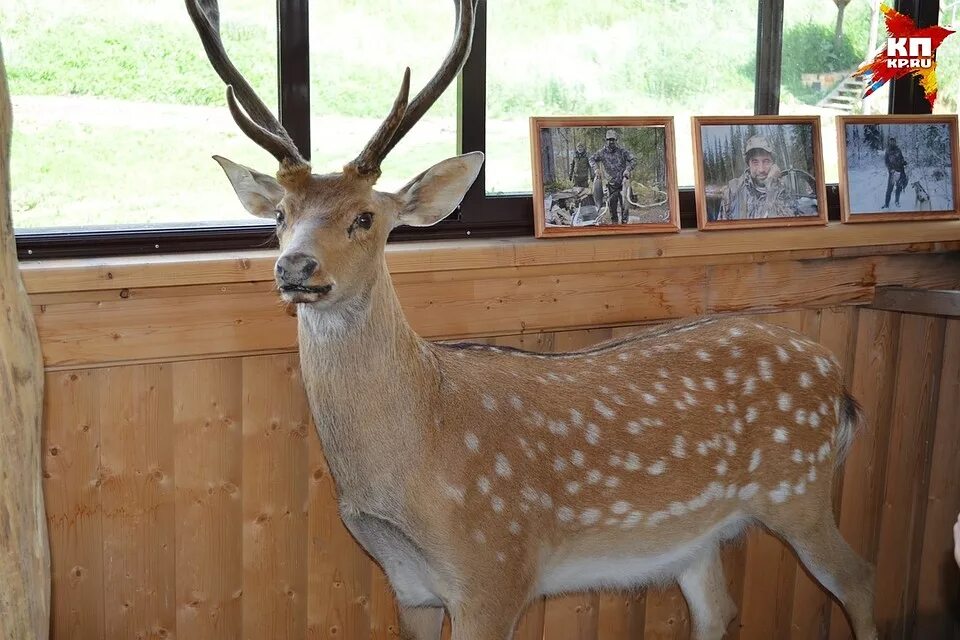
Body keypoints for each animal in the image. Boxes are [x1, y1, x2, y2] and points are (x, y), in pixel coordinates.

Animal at [188, 2, 876, 636]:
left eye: (365, 218)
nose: (294, 267)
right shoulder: (409, 590)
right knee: (719, 610)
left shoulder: (496, 570)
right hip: (696, 538)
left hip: (799, 489)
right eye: (280, 215)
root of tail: (839, 385)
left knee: (859, 578)